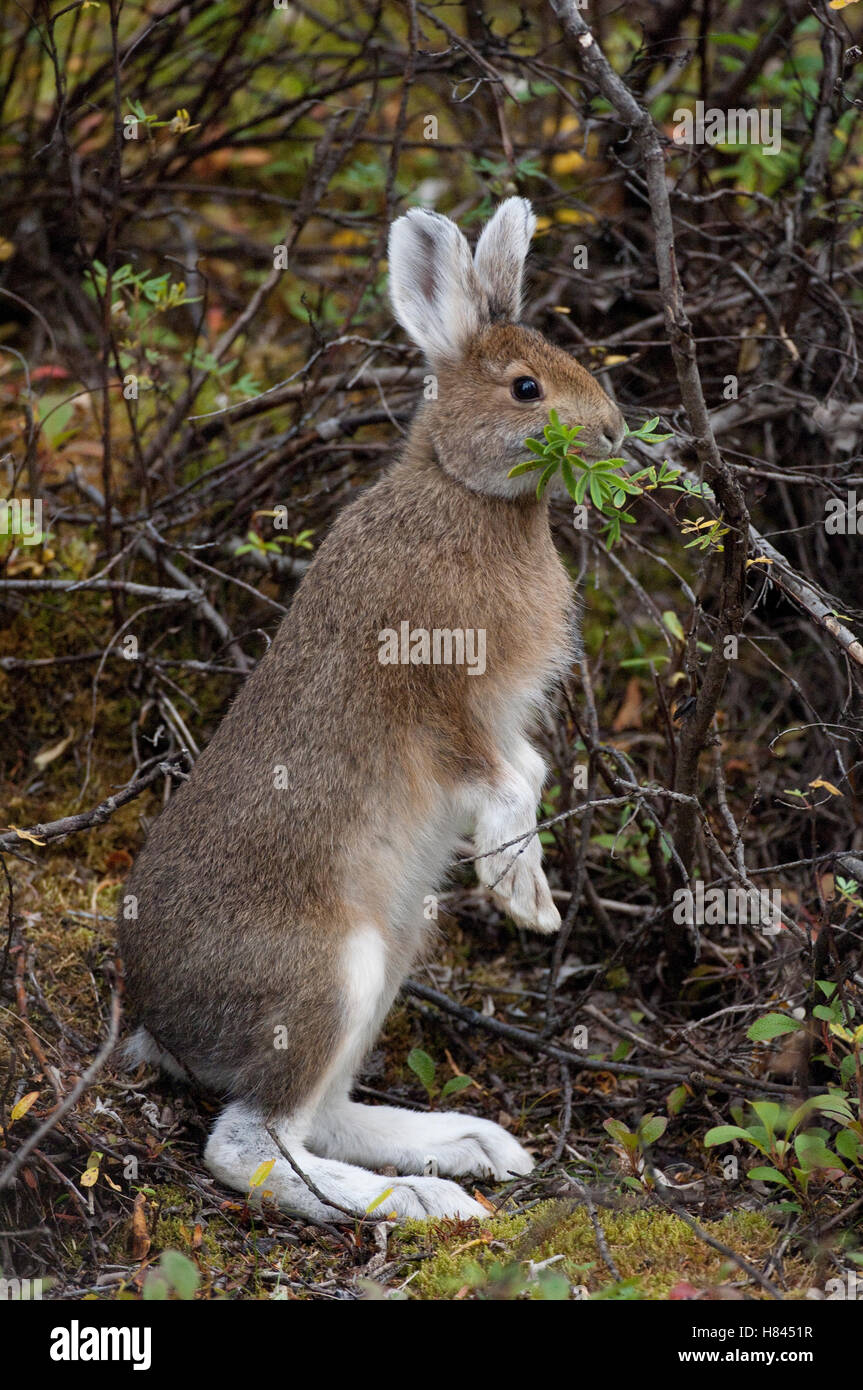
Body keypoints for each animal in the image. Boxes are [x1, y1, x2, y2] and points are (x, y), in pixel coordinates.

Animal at [118, 197, 625, 1222]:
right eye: (525, 389)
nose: (614, 434)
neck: (464, 492)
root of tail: (157, 1023)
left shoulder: (502, 721)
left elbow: (531, 772)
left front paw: (524, 885)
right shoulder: (440, 706)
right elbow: (503, 783)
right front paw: (522, 898)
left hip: (395, 951)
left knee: (316, 1118)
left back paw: (469, 1146)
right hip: (329, 973)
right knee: (250, 1144)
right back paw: (422, 1203)